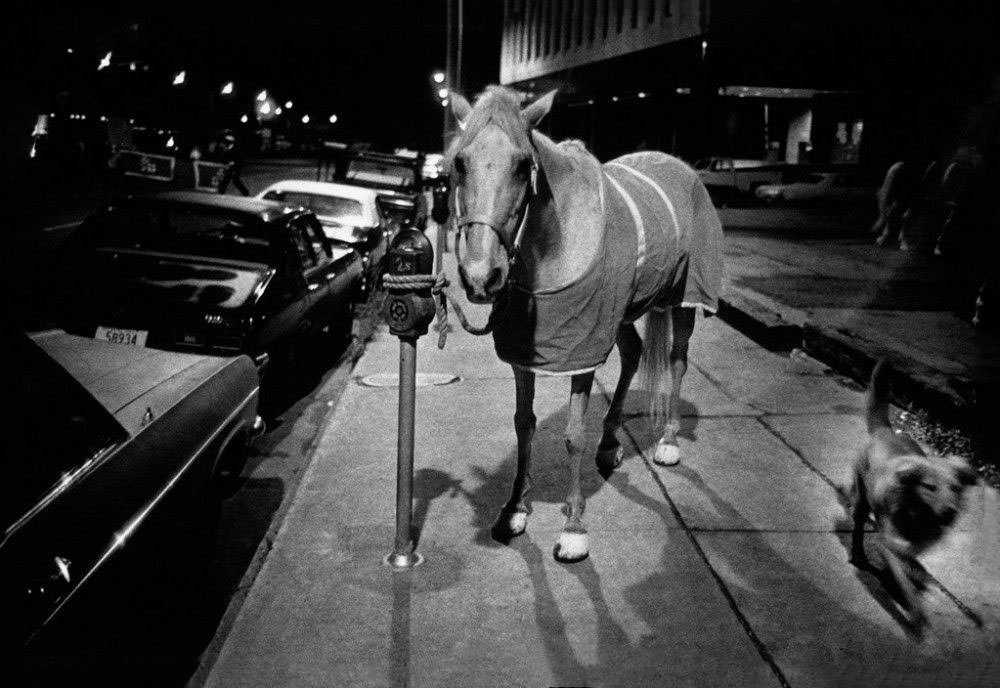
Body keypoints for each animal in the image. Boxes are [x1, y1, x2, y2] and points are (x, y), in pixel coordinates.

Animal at [450, 86, 724, 560]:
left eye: (523, 165)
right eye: (460, 162)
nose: (482, 276)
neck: (554, 245)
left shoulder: (583, 350)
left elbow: (574, 435)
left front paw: (574, 528)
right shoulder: (526, 354)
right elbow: (524, 423)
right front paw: (514, 508)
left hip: (684, 298)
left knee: (677, 360)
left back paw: (668, 440)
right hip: (622, 312)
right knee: (633, 354)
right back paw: (611, 443)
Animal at [848, 360, 980, 628]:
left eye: (955, 488)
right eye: (930, 487)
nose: (950, 512)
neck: (918, 516)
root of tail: (885, 430)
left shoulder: (915, 546)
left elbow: (909, 564)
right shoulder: (890, 545)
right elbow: (904, 582)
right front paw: (914, 611)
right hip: (861, 500)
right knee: (857, 527)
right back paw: (859, 555)